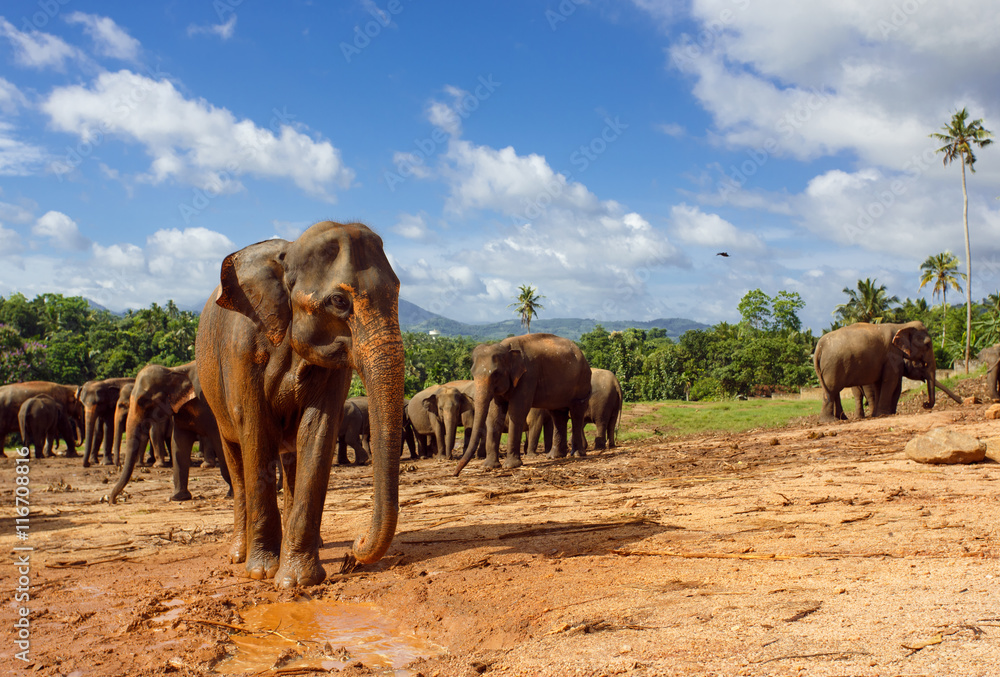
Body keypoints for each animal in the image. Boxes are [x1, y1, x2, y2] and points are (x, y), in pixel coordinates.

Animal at [108, 361, 231, 503]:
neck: (175, 371)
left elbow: (219, 440)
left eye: (143, 401)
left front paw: (231, 494)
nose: (113, 501)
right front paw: (177, 497)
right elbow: (178, 443)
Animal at [196, 221, 405, 588]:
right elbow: (255, 433)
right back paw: (239, 554)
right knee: (236, 459)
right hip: (214, 395)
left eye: (396, 292)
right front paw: (261, 572)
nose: (356, 544)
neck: (288, 253)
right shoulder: (241, 352)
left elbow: (318, 429)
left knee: (291, 456)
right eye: (339, 301)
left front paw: (298, 581)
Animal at [457, 333, 592, 473]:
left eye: (496, 373)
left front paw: (511, 465)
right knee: (558, 414)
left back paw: (577, 454)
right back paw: (554, 456)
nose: (456, 473)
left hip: (582, 382)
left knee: (576, 413)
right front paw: (489, 466)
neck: (507, 348)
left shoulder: (528, 376)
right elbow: (494, 415)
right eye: (472, 373)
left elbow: (517, 411)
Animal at [813, 321, 960, 422]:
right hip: (833, 366)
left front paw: (880, 414)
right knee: (832, 390)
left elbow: (881, 384)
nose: (925, 404)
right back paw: (830, 421)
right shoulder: (892, 357)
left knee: (833, 391)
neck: (902, 325)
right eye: (928, 344)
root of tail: (818, 348)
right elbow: (891, 382)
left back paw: (841, 418)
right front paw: (884, 414)